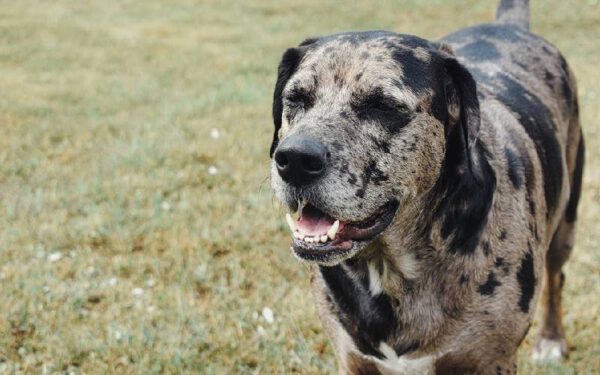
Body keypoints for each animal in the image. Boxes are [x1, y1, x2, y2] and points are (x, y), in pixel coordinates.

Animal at [270, 0, 584, 374]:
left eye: (383, 105)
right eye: (296, 98)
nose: (295, 159)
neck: (392, 270)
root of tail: (511, 26)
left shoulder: (493, 360)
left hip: (566, 223)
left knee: (557, 276)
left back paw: (551, 338)